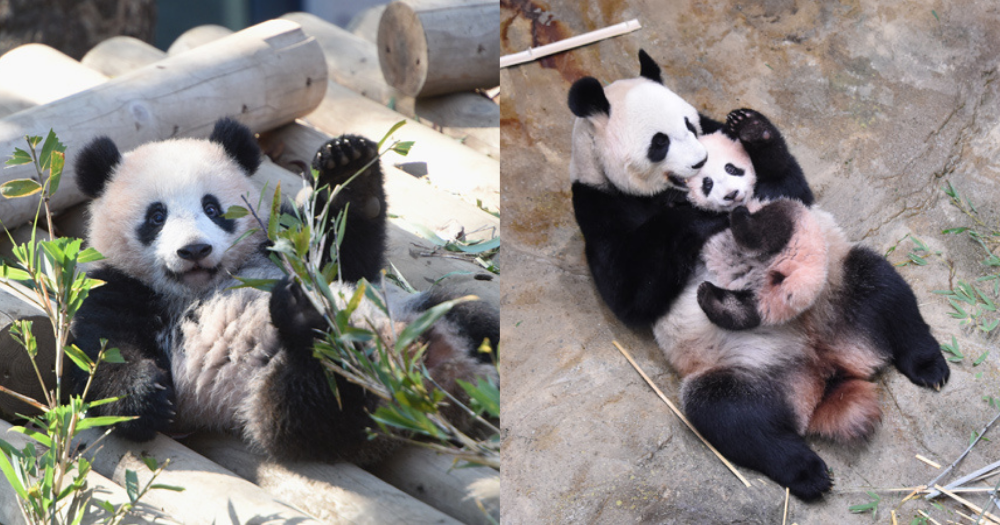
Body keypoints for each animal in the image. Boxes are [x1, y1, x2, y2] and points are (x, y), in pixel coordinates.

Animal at [68, 117, 498, 462]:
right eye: (156, 216)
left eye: (212, 208)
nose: (194, 250)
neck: (200, 287)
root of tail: (433, 381)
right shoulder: (118, 288)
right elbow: (97, 355)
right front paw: (143, 397)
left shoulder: (283, 243)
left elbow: (345, 256)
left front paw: (350, 174)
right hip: (272, 397)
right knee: (315, 402)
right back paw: (308, 320)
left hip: (422, 312)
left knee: (476, 316)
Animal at [568, 49, 948, 500]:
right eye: (659, 142)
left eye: (690, 125)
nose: (699, 162)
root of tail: (825, 371)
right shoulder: (598, 205)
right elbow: (630, 294)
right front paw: (692, 217)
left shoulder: (763, 182)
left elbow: (791, 187)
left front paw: (752, 129)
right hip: (746, 371)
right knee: (730, 415)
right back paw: (807, 472)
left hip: (840, 291)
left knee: (884, 287)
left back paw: (928, 366)